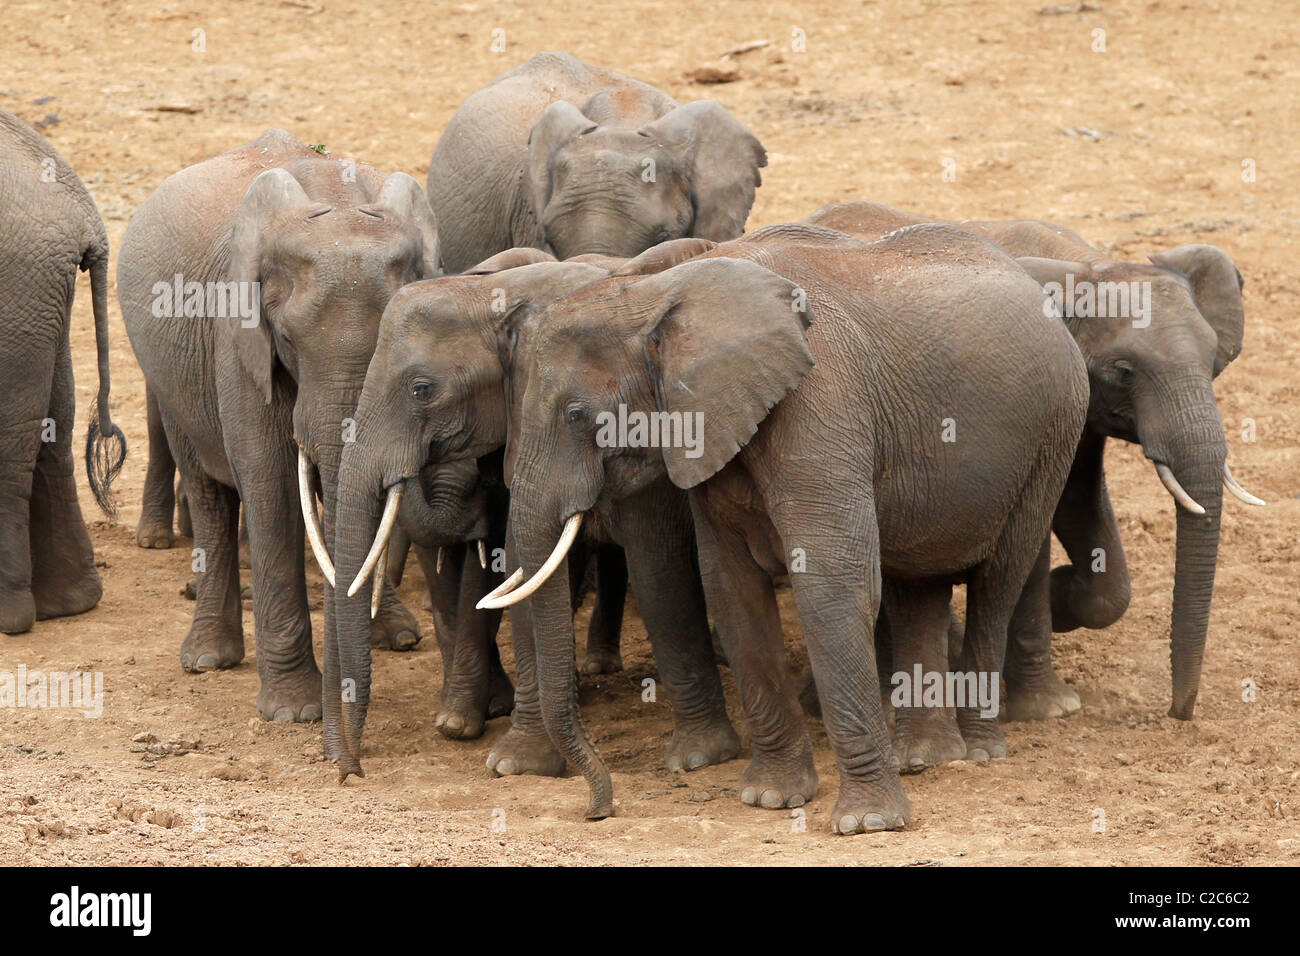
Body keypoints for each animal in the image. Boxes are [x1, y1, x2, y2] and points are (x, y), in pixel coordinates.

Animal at [115, 128, 436, 723]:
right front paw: (295, 712)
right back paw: (206, 660)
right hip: (174, 382)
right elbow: (272, 486)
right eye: (286, 340)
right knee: (209, 494)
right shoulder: (237, 342)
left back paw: (398, 636)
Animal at [330, 243, 738, 790]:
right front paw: (505, 753)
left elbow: (655, 565)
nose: (350, 773)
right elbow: (521, 565)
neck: (489, 295)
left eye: (421, 389)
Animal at [806, 201, 1253, 723]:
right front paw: (1049, 707)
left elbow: (1079, 505)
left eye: (1214, 362)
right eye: (1124, 371)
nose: (1177, 714)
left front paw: (1062, 601)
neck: (1086, 262)